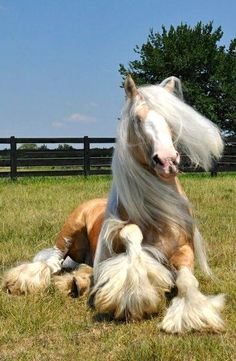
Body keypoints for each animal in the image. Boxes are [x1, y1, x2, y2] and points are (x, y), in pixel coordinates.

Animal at [2, 74, 225, 334]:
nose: (168, 161)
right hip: (68, 233)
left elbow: (188, 281)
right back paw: (26, 282)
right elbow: (132, 234)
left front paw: (195, 315)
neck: (158, 217)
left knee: (82, 268)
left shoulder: (184, 251)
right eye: (137, 119)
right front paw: (133, 298)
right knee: (52, 262)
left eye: (171, 118)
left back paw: (77, 283)